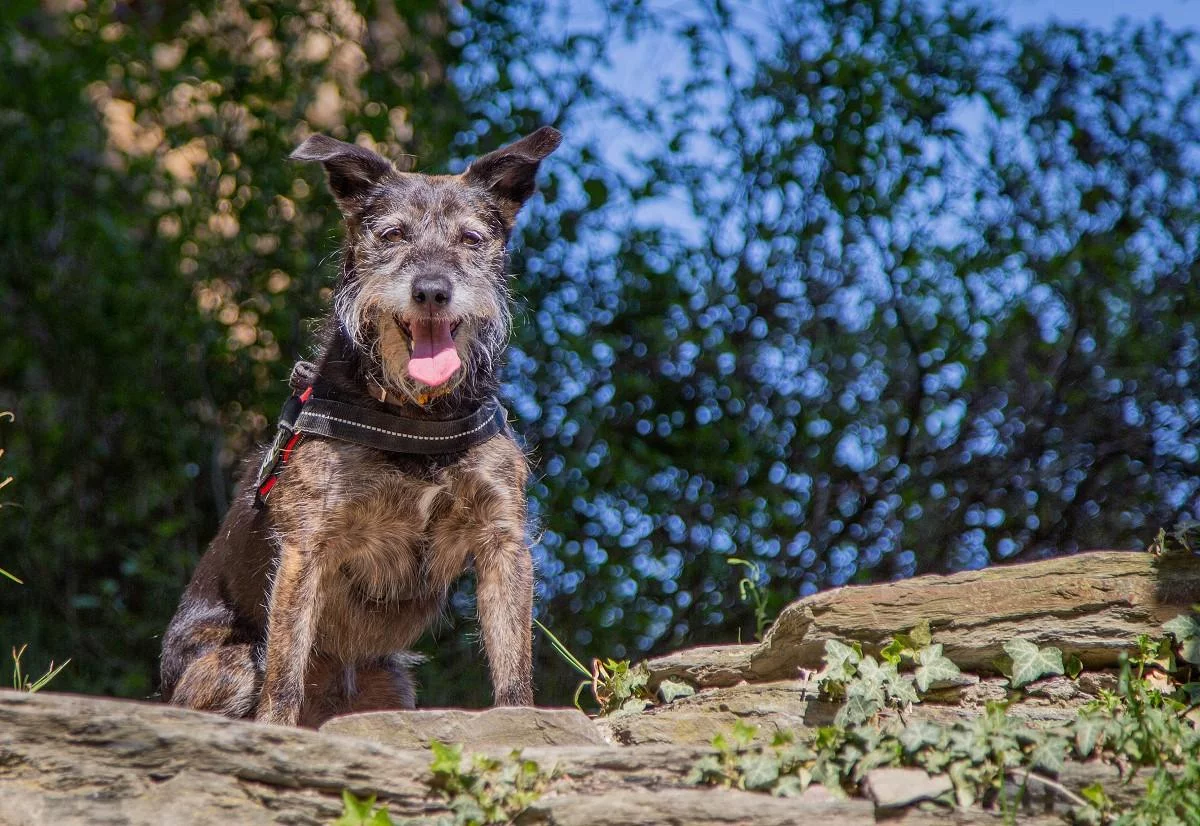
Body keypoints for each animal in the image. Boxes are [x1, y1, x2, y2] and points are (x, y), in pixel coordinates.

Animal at [158, 126, 561, 725]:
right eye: (392, 235)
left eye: (470, 239)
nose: (432, 289)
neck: (417, 415)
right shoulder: (307, 544)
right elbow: (284, 671)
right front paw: (277, 728)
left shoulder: (502, 540)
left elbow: (513, 663)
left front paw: (519, 721)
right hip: (230, 666)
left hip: (391, 681)